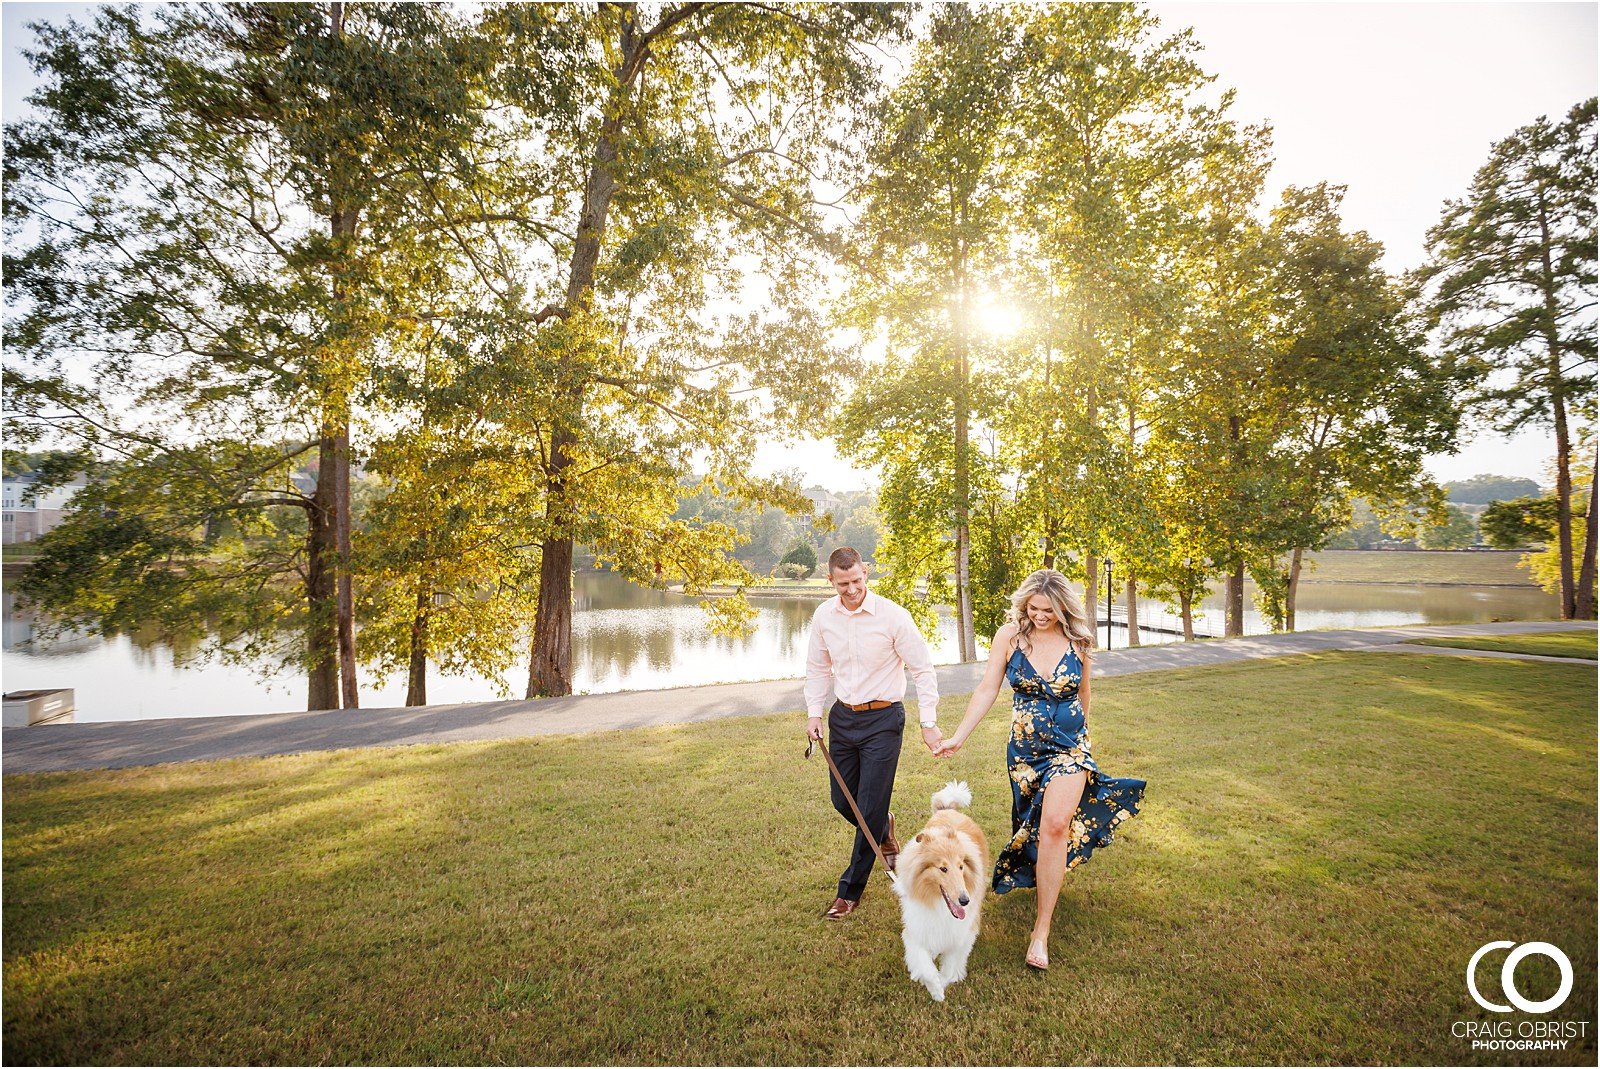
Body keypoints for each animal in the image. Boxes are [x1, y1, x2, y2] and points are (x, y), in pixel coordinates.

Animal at [889, 780, 985, 998]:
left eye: (961, 866)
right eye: (943, 869)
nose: (965, 900)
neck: (940, 907)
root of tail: (948, 809)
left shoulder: (963, 934)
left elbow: (950, 967)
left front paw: (943, 984)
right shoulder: (918, 930)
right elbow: (924, 966)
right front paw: (935, 990)